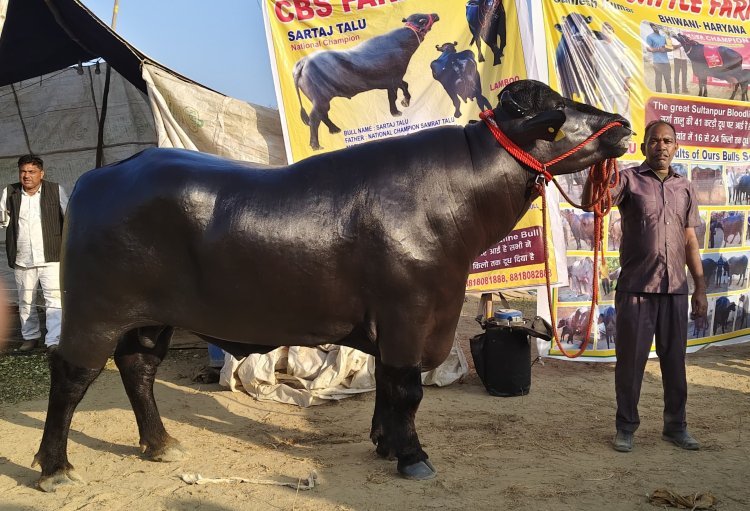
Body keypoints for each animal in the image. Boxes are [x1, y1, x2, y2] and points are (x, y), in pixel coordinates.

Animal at [33, 80, 636, 492]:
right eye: (560, 115)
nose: (622, 124)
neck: (452, 198)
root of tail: (100, 176)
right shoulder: (409, 312)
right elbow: (407, 388)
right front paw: (412, 456)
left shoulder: (408, 322)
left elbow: (390, 387)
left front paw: (385, 442)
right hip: (95, 312)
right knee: (70, 377)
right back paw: (55, 467)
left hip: (151, 318)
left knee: (138, 369)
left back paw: (160, 445)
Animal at [296, 13, 440, 150]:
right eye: (423, 20)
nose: (435, 15)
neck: (400, 44)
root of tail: (303, 61)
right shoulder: (394, 79)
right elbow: (393, 96)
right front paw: (396, 112)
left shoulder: (395, 79)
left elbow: (404, 86)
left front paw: (405, 101)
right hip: (321, 99)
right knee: (315, 118)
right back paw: (316, 145)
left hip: (320, 100)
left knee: (323, 115)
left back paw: (335, 129)